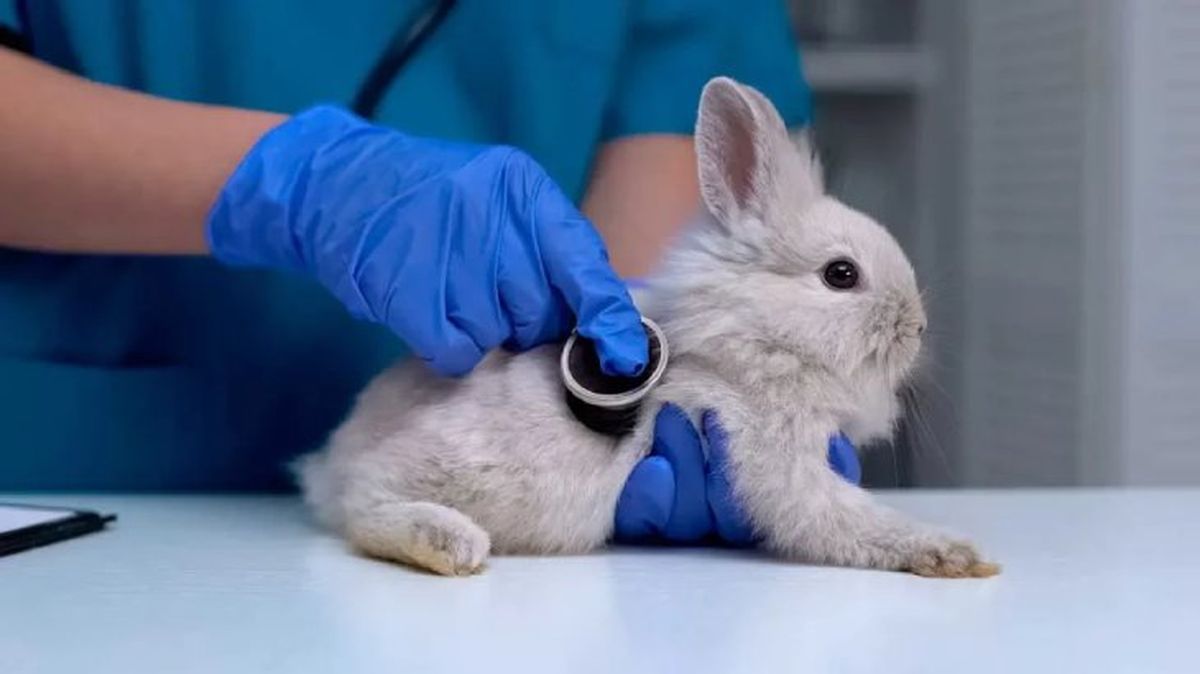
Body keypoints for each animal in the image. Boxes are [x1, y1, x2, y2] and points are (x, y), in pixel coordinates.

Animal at [297, 76, 999, 579]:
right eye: (841, 275)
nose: (917, 327)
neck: (757, 340)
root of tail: (332, 462)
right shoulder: (776, 459)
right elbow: (847, 518)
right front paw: (955, 555)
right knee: (366, 512)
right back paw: (451, 545)